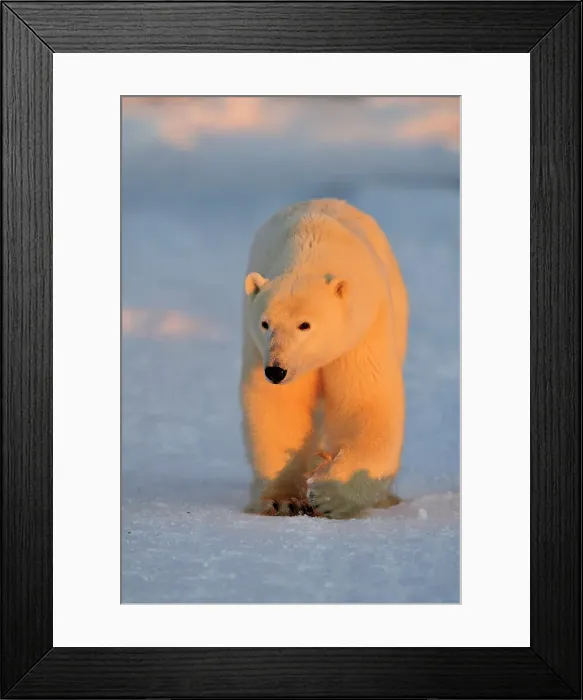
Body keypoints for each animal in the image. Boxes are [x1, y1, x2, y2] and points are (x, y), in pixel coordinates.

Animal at [240, 198, 408, 519]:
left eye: (305, 325)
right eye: (265, 323)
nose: (276, 371)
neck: (311, 245)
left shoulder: (360, 333)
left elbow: (365, 402)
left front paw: (332, 496)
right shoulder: (258, 347)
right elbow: (280, 406)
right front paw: (283, 501)